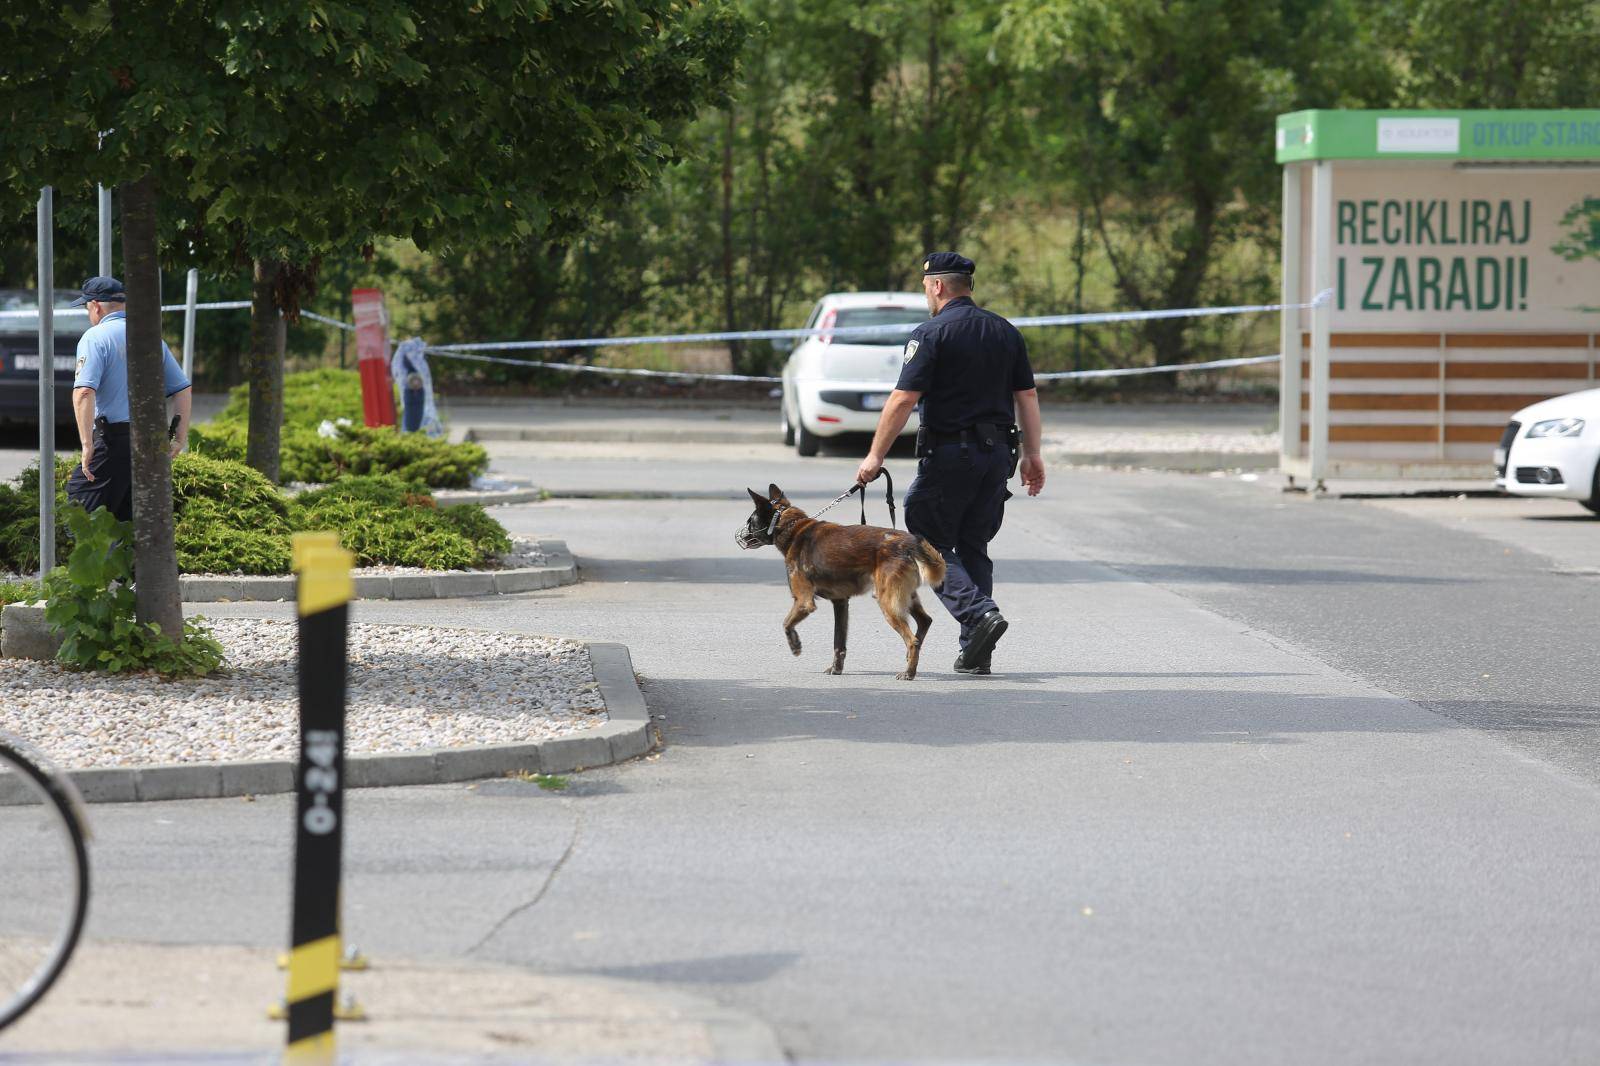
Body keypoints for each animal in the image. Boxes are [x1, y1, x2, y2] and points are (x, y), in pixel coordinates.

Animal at [739, 483, 947, 675]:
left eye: (750, 521)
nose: (741, 537)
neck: (790, 527)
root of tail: (908, 543)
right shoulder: (840, 603)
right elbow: (838, 641)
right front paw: (835, 668)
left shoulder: (803, 601)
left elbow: (786, 623)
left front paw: (795, 645)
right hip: (905, 596)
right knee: (925, 621)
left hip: (887, 602)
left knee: (912, 640)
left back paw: (909, 672)